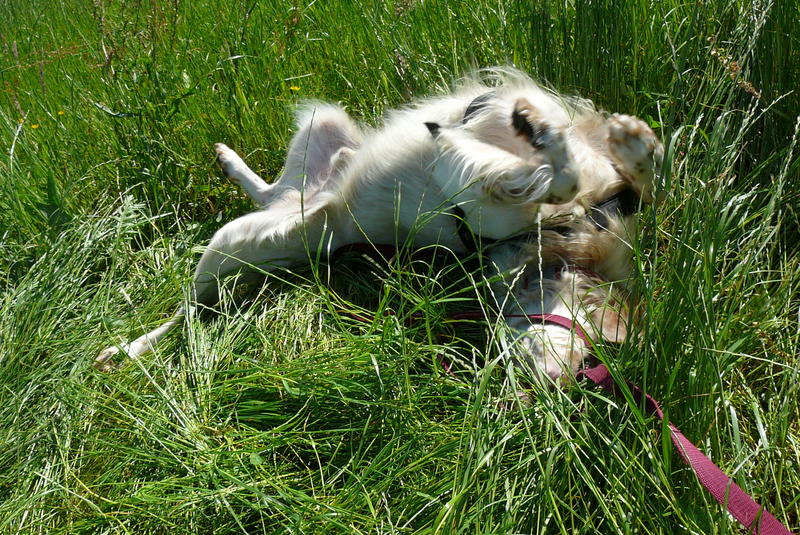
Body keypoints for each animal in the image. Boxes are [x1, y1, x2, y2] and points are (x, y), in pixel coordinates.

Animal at [97, 69, 664, 382]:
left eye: (586, 369)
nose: (528, 389)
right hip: (318, 130)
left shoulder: (485, 204)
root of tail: (311, 206)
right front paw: (626, 144)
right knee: (196, 296)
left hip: (241, 237)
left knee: (197, 303)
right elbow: (614, 172)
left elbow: (557, 179)